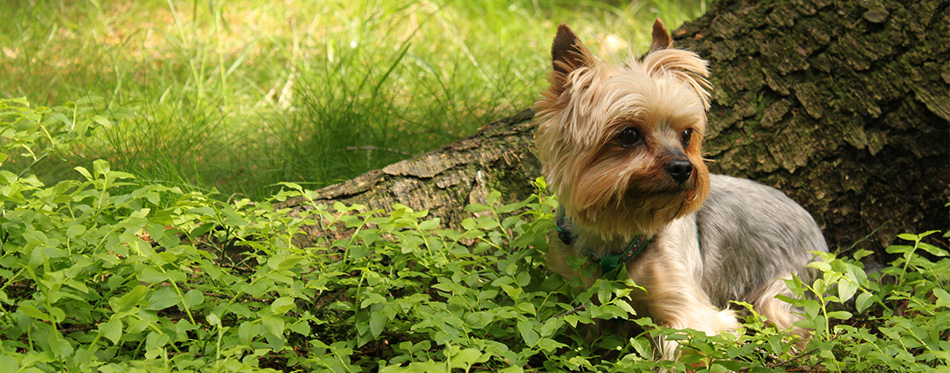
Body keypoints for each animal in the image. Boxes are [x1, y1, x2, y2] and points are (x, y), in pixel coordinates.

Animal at [540, 18, 828, 358]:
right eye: (628, 134)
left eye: (687, 134)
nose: (683, 167)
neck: (618, 233)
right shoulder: (576, 294)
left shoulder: (689, 309)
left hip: (783, 289)